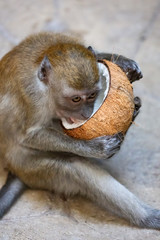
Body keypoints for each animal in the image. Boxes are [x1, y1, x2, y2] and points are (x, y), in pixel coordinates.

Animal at [0, 31, 159, 229]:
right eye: (75, 99)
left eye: (92, 95)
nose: (86, 113)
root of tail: (13, 167)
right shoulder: (33, 96)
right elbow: (29, 136)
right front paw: (97, 148)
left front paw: (122, 62)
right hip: (29, 167)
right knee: (76, 167)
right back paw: (148, 217)